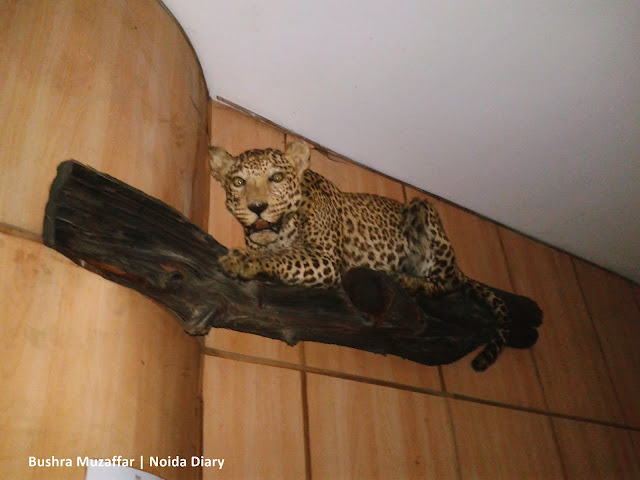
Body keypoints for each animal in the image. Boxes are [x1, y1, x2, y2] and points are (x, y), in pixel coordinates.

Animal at [209, 141, 510, 371]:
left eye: (277, 178)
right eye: (238, 182)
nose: (257, 207)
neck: (283, 230)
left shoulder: (326, 261)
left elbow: (286, 255)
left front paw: (242, 260)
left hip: (421, 207)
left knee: (448, 283)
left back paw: (409, 280)